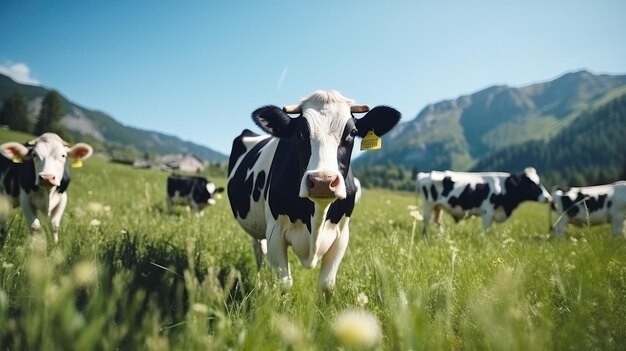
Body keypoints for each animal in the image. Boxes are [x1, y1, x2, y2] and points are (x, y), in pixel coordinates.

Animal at [227, 89, 398, 296]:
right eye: (300, 133)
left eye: (352, 133)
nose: (322, 181)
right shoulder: (275, 232)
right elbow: (284, 283)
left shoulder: (342, 235)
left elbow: (326, 285)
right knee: (259, 250)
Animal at [416, 167, 548, 234]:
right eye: (531, 183)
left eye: (538, 181)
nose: (548, 197)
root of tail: (425, 175)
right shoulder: (487, 211)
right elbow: (486, 229)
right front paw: (485, 241)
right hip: (428, 205)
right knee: (426, 221)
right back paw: (427, 235)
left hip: (438, 207)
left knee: (437, 221)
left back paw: (440, 235)